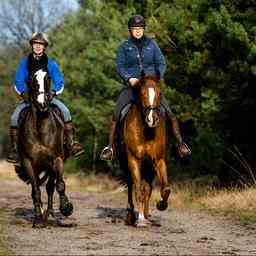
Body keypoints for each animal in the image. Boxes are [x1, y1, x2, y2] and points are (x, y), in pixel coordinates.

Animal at [15, 68, 73, 228]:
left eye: (48, 78)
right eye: (32, 80)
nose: (42, 104)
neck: (41, 127)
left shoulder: (57, 160)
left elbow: (60, 185)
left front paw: (66, 208)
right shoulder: (28, 162)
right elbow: (35, 191)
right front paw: (38, 219)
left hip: (50, 166)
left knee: (50, 187)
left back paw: (51, 213)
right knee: (40, 188)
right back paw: (43, 214)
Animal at [117, 73, 171, 227]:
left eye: (160, 93)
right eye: (141, 93)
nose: (152, 119)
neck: (146, 131)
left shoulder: (158, 160)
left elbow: (165, 188)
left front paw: (161, 205)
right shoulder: (134, 160)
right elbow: (138, 190)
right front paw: (140, 219)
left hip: (149, 167)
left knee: (147, 188)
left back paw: (147, 215)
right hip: (125, 164)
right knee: (131, 185)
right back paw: (130, 215)